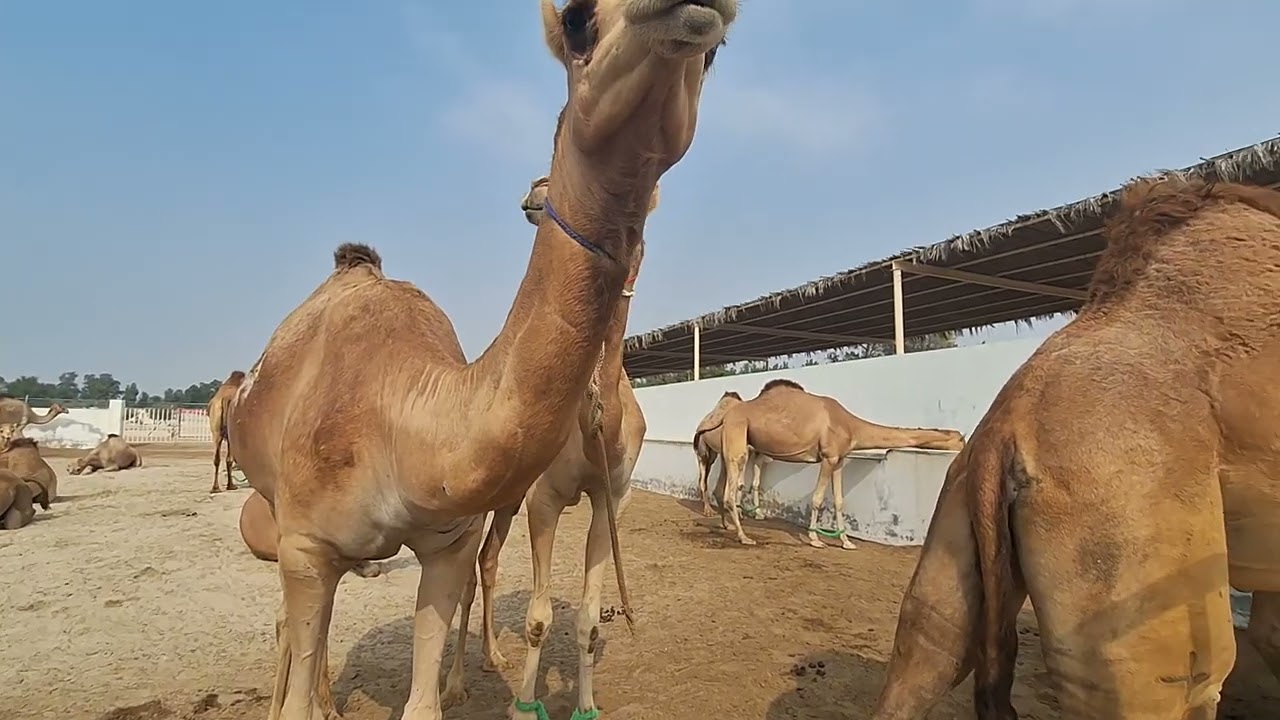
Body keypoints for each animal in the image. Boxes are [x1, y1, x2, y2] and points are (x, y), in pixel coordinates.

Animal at [440, 172, 659, 715]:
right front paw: (522, 704)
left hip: (507, 496)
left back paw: (492, 656)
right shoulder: (545, 497)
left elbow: (586, 619)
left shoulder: (610, 499)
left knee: (488, 560)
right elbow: (539, 618)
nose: (536, 192)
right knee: (467, 576)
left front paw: (585, 705)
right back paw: (455, 683)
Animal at [716, 379, 966, 548]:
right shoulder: (828, 457)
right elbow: (817, 498)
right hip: (738, 436)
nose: (965, 448)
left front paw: (846, 541)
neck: (851, 426)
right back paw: (744, 537)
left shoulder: (839, 460)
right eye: (961, 440)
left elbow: (838, 501)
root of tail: (729, 414)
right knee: (730, 491)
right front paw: (815, 538)